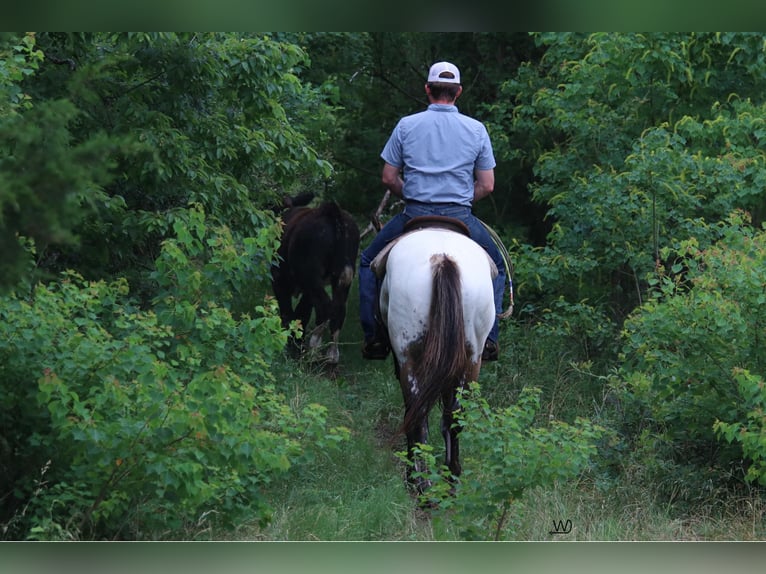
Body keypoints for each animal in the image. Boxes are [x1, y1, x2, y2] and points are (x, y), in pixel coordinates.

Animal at [272, 198, 362, 376]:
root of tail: (334, 213)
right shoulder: (308, 290)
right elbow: (302, 314)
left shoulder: (279, 281)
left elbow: (288, 313)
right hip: (342, 279)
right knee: (338, 311)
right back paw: (331, 358)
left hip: (312, 277)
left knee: (325, 307)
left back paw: (313, 352)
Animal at [374, 218, 498, 498]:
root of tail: (443, 260)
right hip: (471, 358)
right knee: (454, 418)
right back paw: (451, 480)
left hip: (409, 354)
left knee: (416, 413)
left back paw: (419, 482)